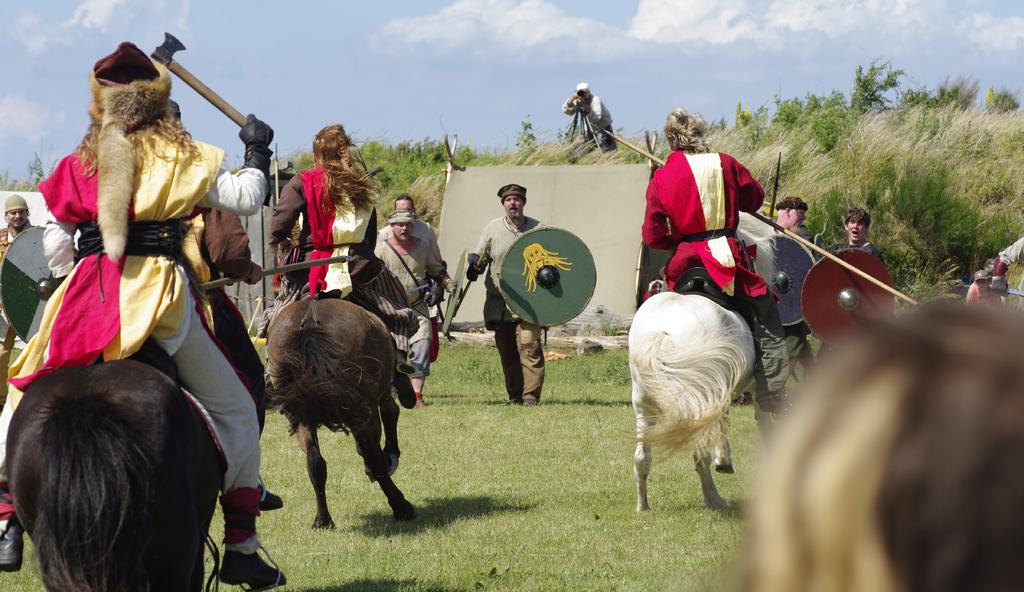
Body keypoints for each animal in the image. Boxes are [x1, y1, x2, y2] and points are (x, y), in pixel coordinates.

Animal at [268, 297, 419, 528]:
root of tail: (309, 325)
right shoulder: (382, 396)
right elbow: (391, 414)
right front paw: (390, 455)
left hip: (303, 416)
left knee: (315, 463)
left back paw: (323, 520)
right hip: (366, 411)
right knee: (375, 458)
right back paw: (401, 506)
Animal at [626, 210, 778, 508]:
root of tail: (661, 331)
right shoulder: (753, 388)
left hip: (644, 401)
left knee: (642, 456)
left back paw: (643, 505)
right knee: (699, 452)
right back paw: (714, 496)